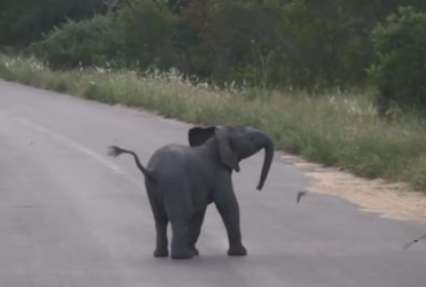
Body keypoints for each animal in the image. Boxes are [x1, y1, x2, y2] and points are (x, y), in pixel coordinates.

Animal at [108, 125, 274, 258]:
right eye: (252, 139)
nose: (258, 188)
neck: (216, 140)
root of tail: (152, 171)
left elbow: (199, 213)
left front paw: (195, 251)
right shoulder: (219, 174)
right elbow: (228, 206)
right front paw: (240, 254)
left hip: (152, 187)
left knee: (160, 218)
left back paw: (161, 254)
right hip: (175, 183)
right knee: (181, 215)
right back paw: (183, 256)